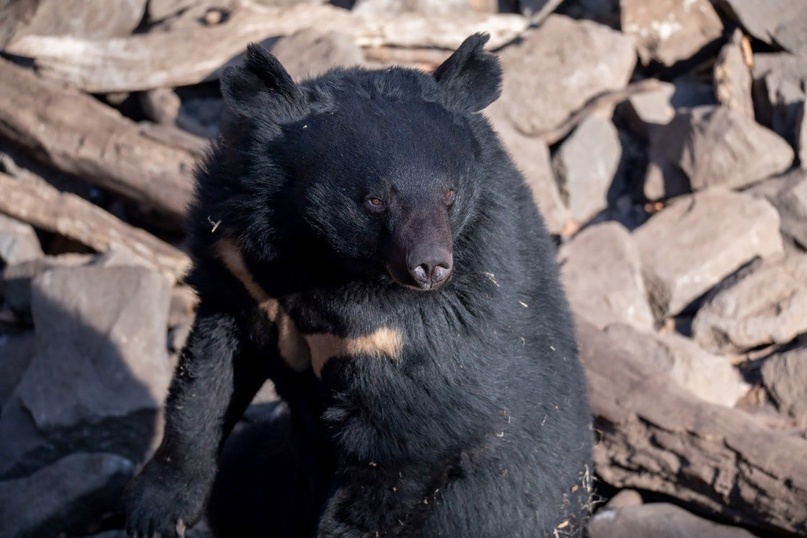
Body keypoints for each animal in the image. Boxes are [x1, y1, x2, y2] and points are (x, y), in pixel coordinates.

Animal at [124, 34, 592, 536]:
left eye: (449, 194)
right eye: (374, 200)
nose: (430, 267)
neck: (324, 258)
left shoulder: (416, 344)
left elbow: (401, 450)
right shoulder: (239, 269)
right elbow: (204, 383)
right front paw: (155, 509)